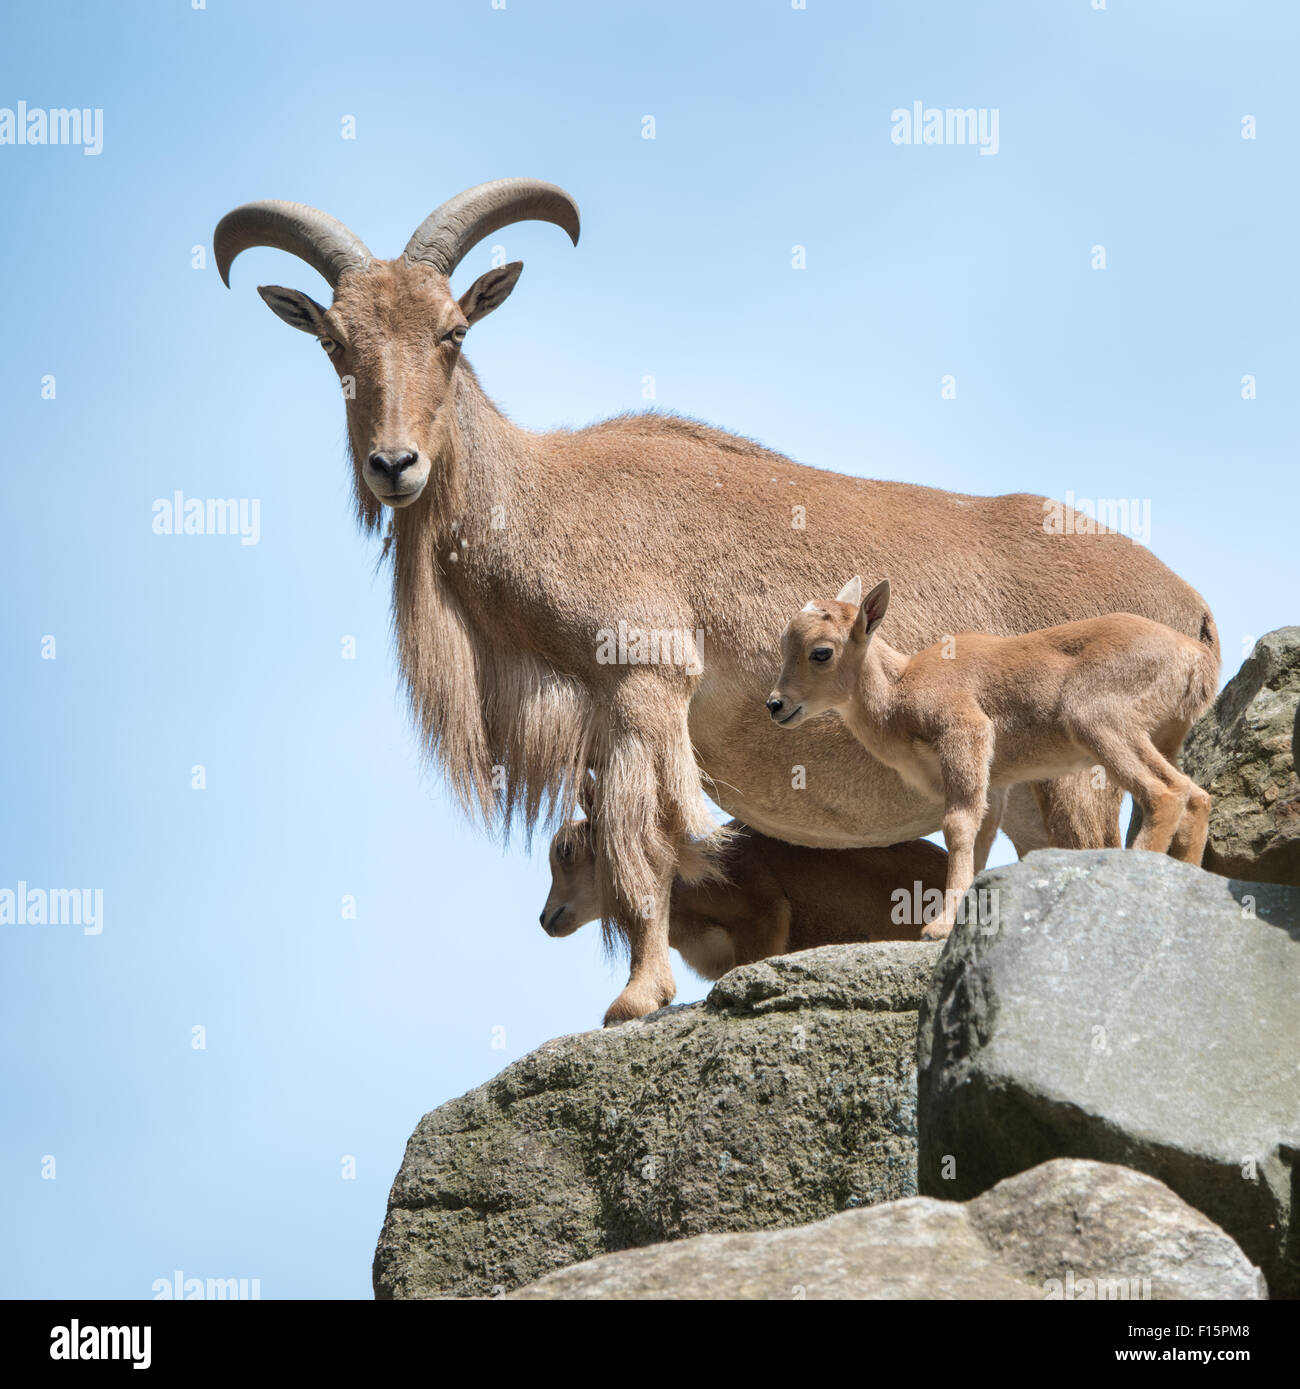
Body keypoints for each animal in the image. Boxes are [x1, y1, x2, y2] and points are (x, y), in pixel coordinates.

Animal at [766, 575, 1211, 944]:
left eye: (821, 652)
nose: (776, 704)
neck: (900, 692)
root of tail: (1196, 660)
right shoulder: (993, 782)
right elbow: (979, 837)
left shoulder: (965, 734)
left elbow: (957, 825)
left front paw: (938, 928)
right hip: (1157, 739)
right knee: (1195, 796)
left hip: (1099, 723)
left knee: (1164, 793)